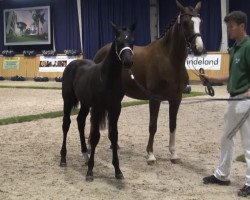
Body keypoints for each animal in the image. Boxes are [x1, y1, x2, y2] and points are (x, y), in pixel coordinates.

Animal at [59, 22, 136, 181]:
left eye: (132, 41)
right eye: (118, 41)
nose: (128, 62)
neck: (107, 78)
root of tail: (73, 63)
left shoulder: (115, 108)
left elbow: (113, 136)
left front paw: (118, 170)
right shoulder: (97, 107)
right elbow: (95, 137)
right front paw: (90, 171)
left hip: (85, 104)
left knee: (80, 122)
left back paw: (85, 154)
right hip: (68, 100)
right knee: (66, 124)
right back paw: (63, 158)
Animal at [94, 0, 205, 164]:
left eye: (199, 22)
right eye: (185, 23)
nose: (199, 48)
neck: (169, 60)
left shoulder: (176, 99)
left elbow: (173, 125)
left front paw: (173, 154)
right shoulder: (154, 98)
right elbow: (153, 126)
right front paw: (150, 155)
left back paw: (115, 145)